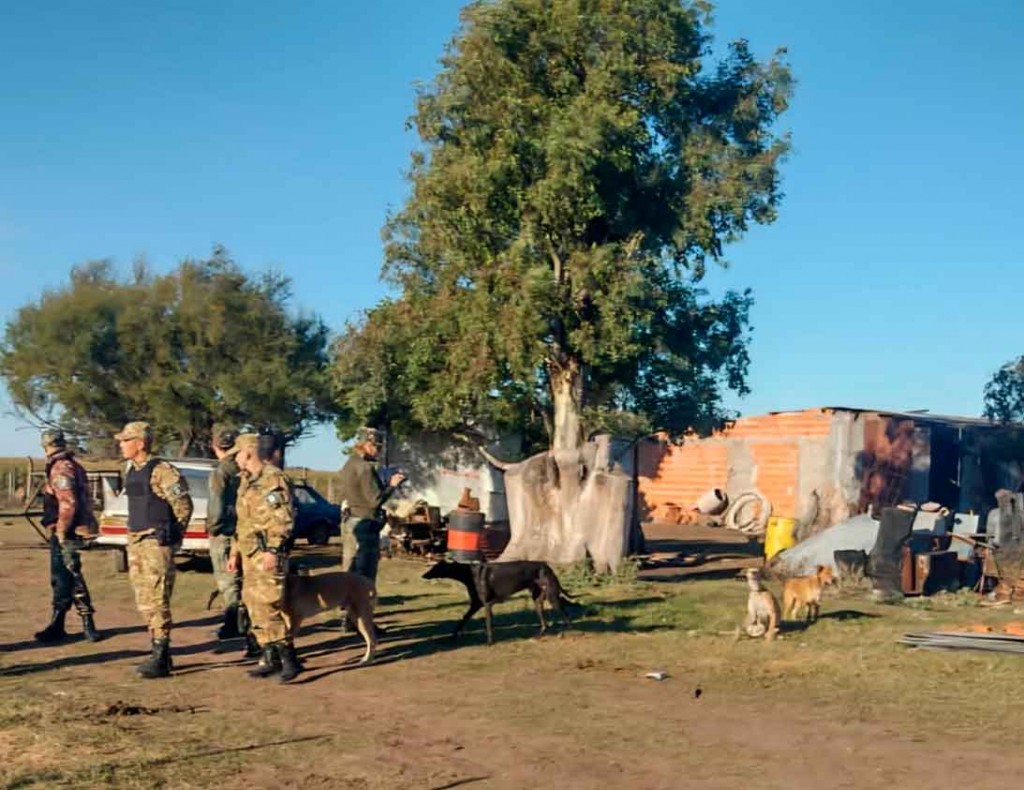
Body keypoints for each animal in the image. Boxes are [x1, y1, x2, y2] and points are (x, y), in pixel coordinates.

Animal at [419, 557, 573, 647]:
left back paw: (567, 632)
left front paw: (489, 642)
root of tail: (547, 566)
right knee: (545, 624)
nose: (423, 575)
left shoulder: (486, 604)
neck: (469, 573)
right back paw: (537, 636)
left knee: (566, 617)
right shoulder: (475, 605)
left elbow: (488, 624)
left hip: (552, 598)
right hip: (537, 600)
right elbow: (463, 619)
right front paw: (453, 635)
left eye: (435, 568)